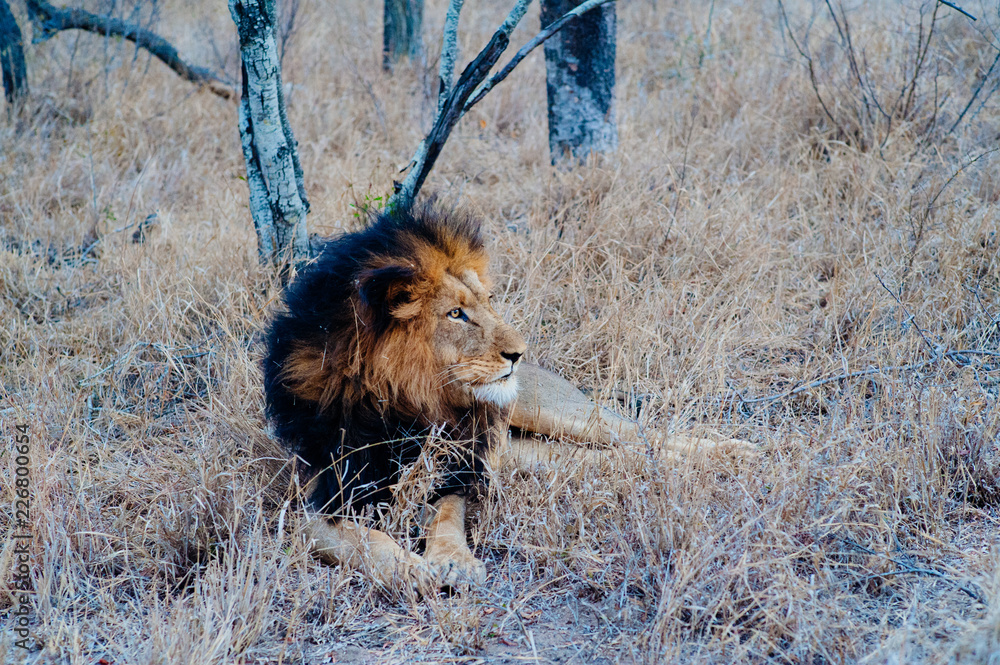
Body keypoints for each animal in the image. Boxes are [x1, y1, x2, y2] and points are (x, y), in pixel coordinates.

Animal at [264, 206, 746, 592]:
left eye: (488, 301)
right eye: (456, 313)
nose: (518, 352)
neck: (406, 401)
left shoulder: (453, 469)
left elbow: (447, 516)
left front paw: (454, 563)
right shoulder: (315, 504)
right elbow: (366, 540)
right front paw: (413, 571)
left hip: (553, 412)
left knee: (642, 433)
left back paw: (737, 452)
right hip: (530, 456)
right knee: (618, 455)